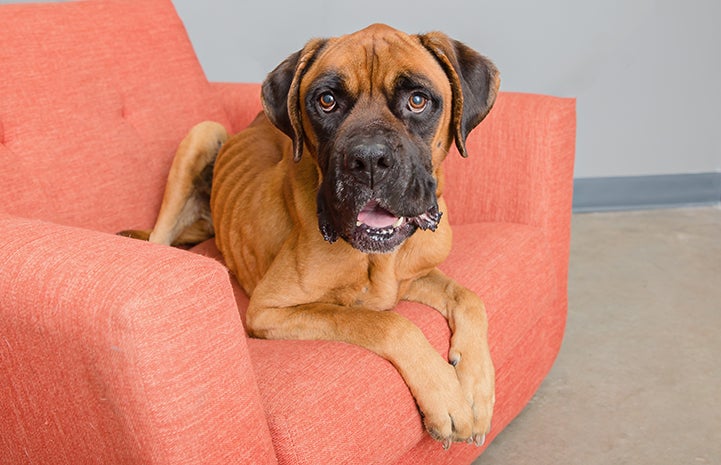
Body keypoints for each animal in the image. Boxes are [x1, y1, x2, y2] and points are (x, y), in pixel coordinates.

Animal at [121, 23, 498, 448]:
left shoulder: (414, 277)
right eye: (327, 100)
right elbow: (382, 322)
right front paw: (446, 394)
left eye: (417, 100)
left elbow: (469, 298)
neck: (378, 261)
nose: (369, 160)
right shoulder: (270, 310)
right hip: (202, 134)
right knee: (159, 238)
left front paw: (477, 387)